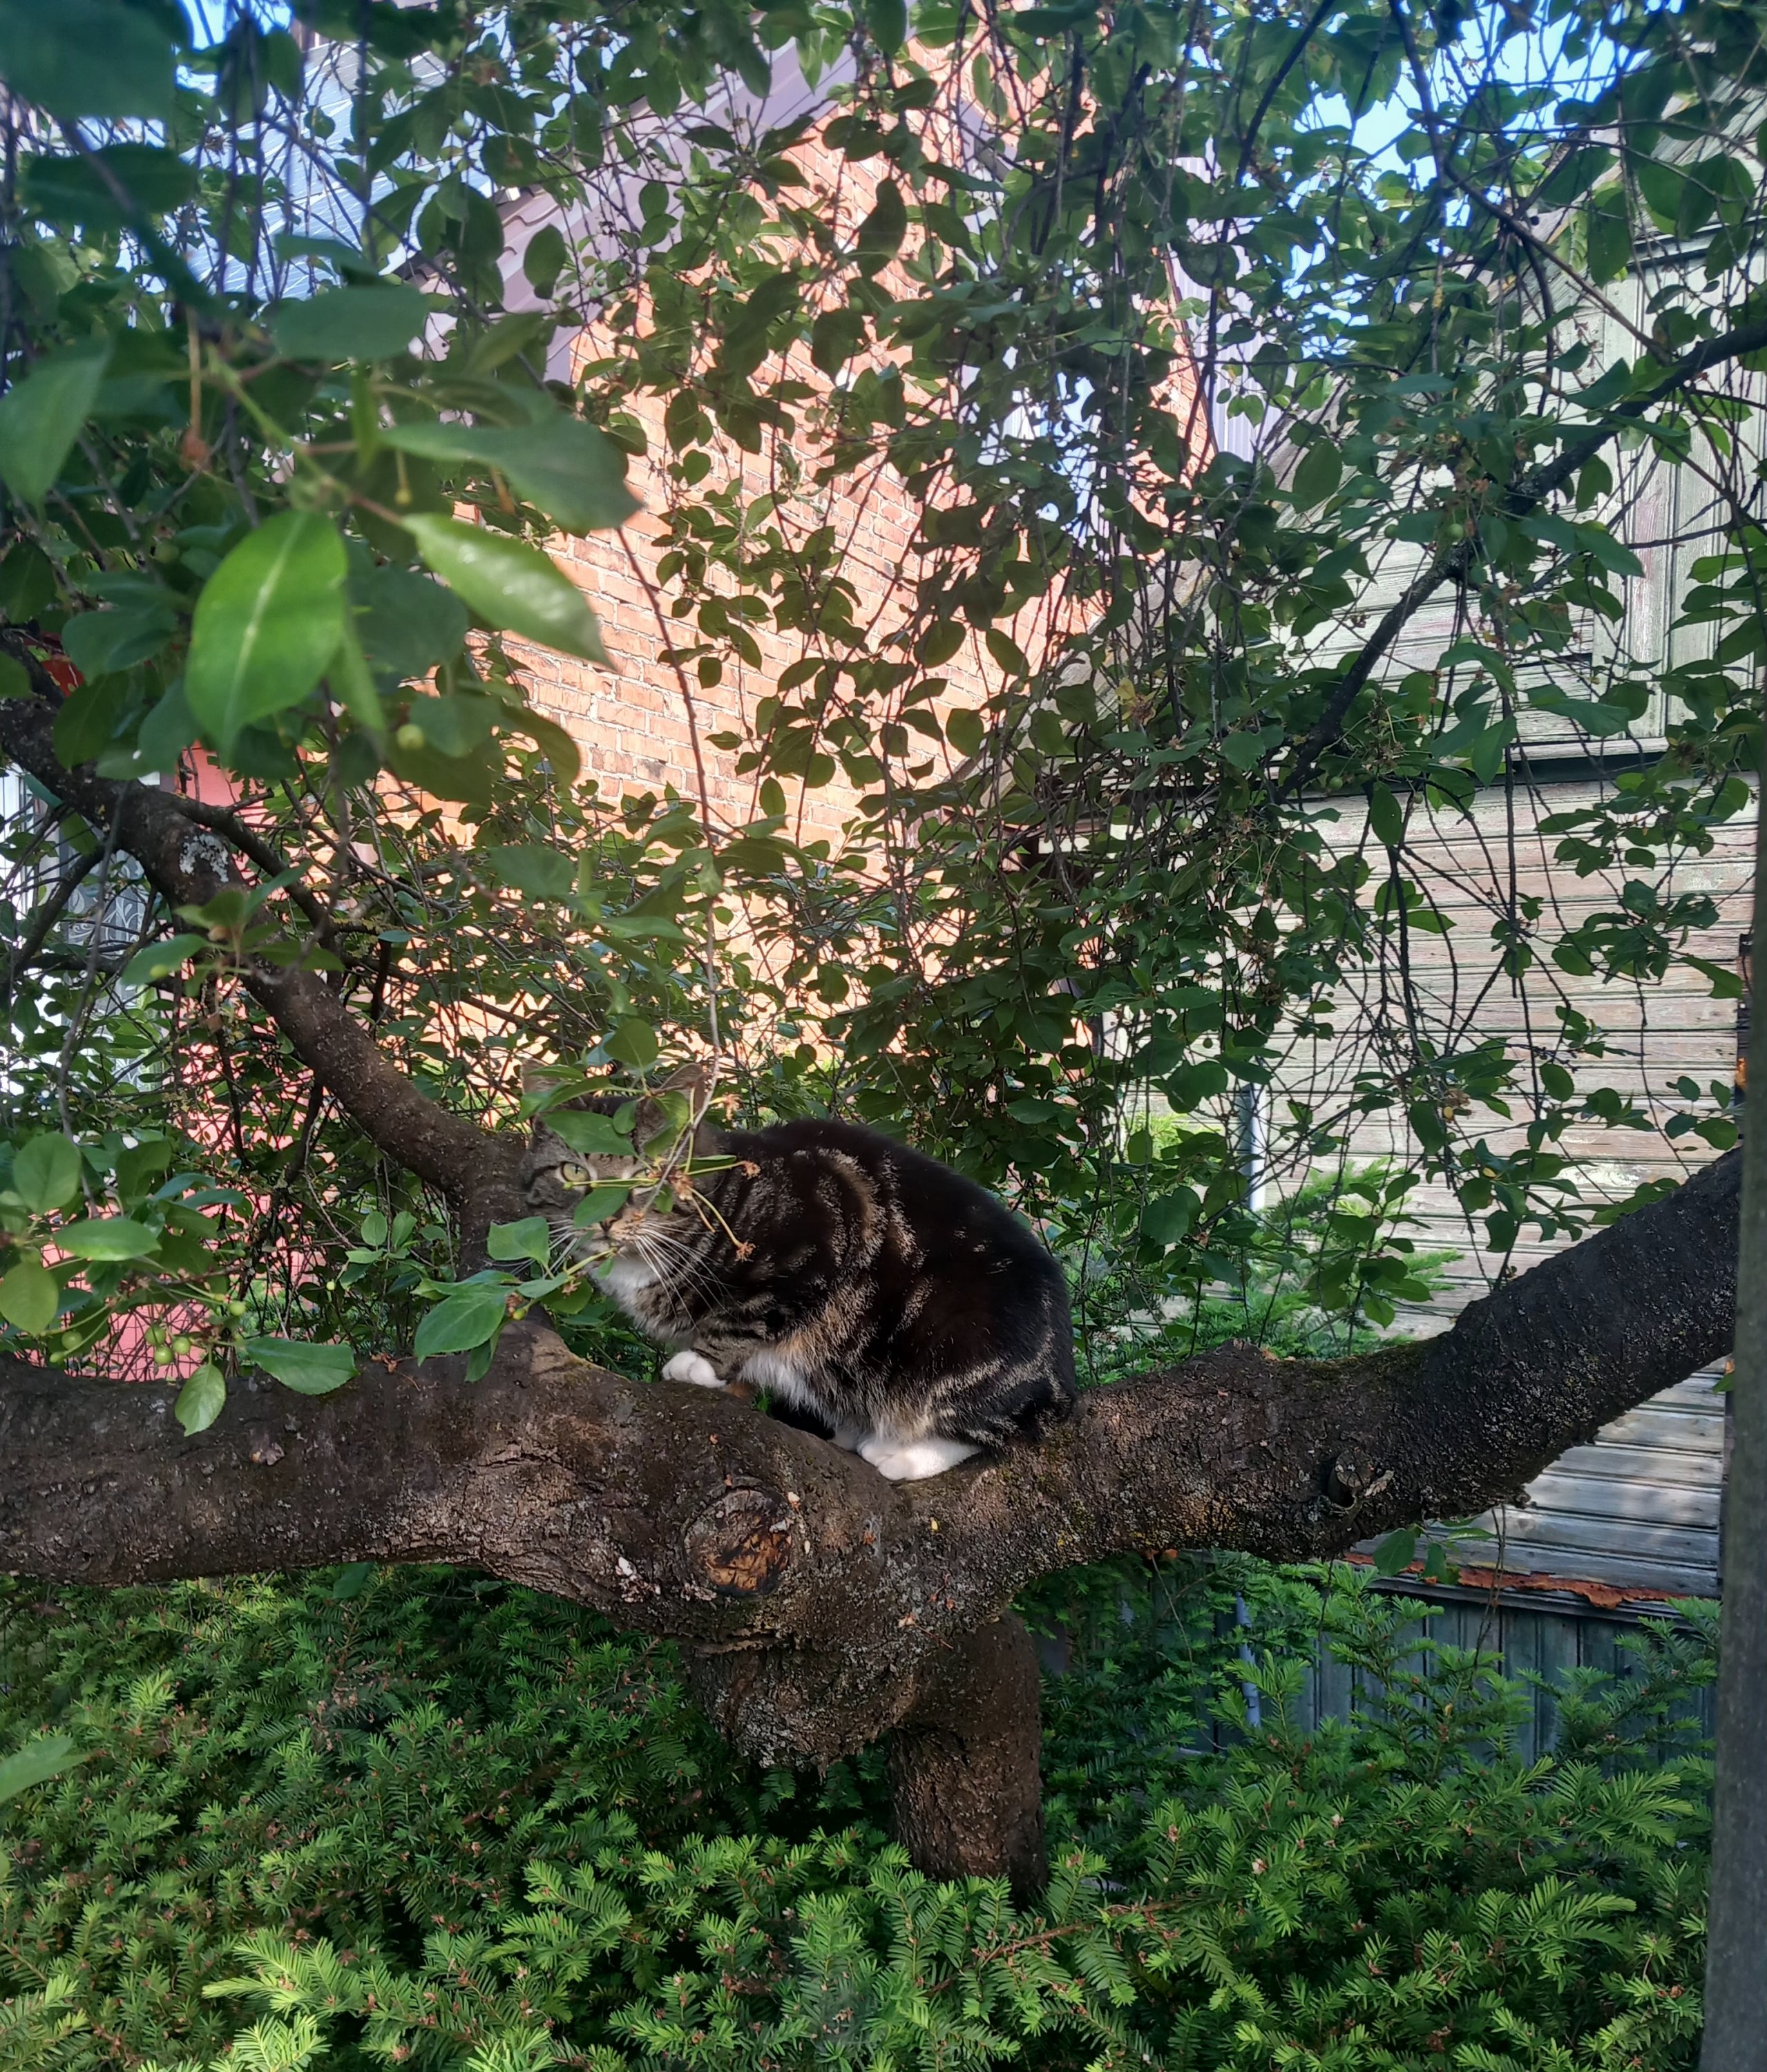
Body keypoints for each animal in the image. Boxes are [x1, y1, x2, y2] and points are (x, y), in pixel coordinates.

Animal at [517, 1066, 1075, 1480]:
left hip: (955, 1338)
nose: (605, 1220)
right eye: (573, 1172)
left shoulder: (818, 1237)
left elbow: (747, 1315)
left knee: (994, 1427)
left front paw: (699, 1364)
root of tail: (1061, 1377)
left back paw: (898, 1452)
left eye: (648, 1173)